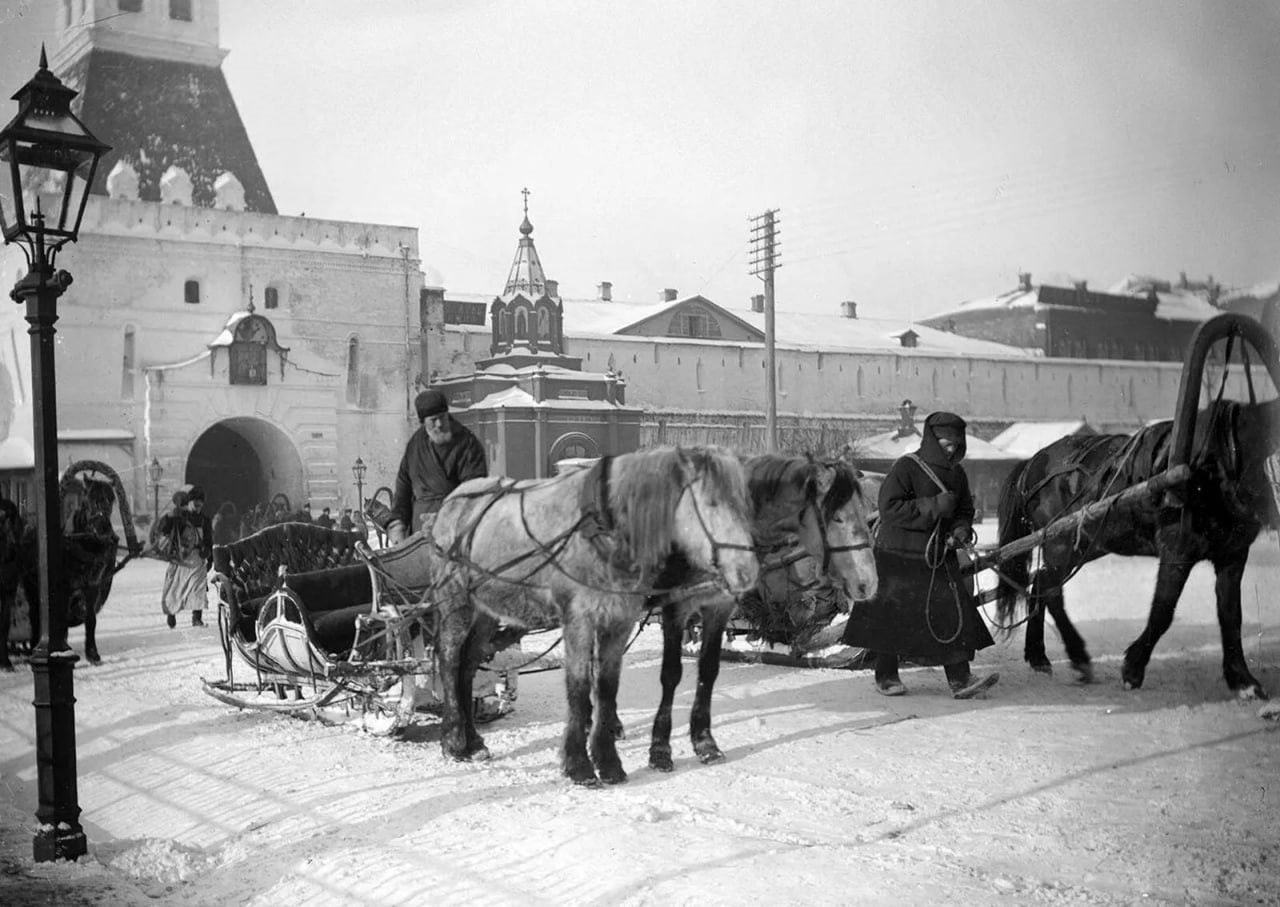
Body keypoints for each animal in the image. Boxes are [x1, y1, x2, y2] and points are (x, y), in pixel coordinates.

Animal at [998, 391, 1280, 695]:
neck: (1213, 462)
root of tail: (1033, 462)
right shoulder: (1176, 550)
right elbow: (1163, 610)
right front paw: (1133, 669)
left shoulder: (1233, 554)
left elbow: (1230, 615)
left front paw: (1243, 680)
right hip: (1059, 544)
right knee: (1050, 591)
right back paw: (1078, 658)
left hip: (1084, 545)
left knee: (1039, 583)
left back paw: (1038, 656)